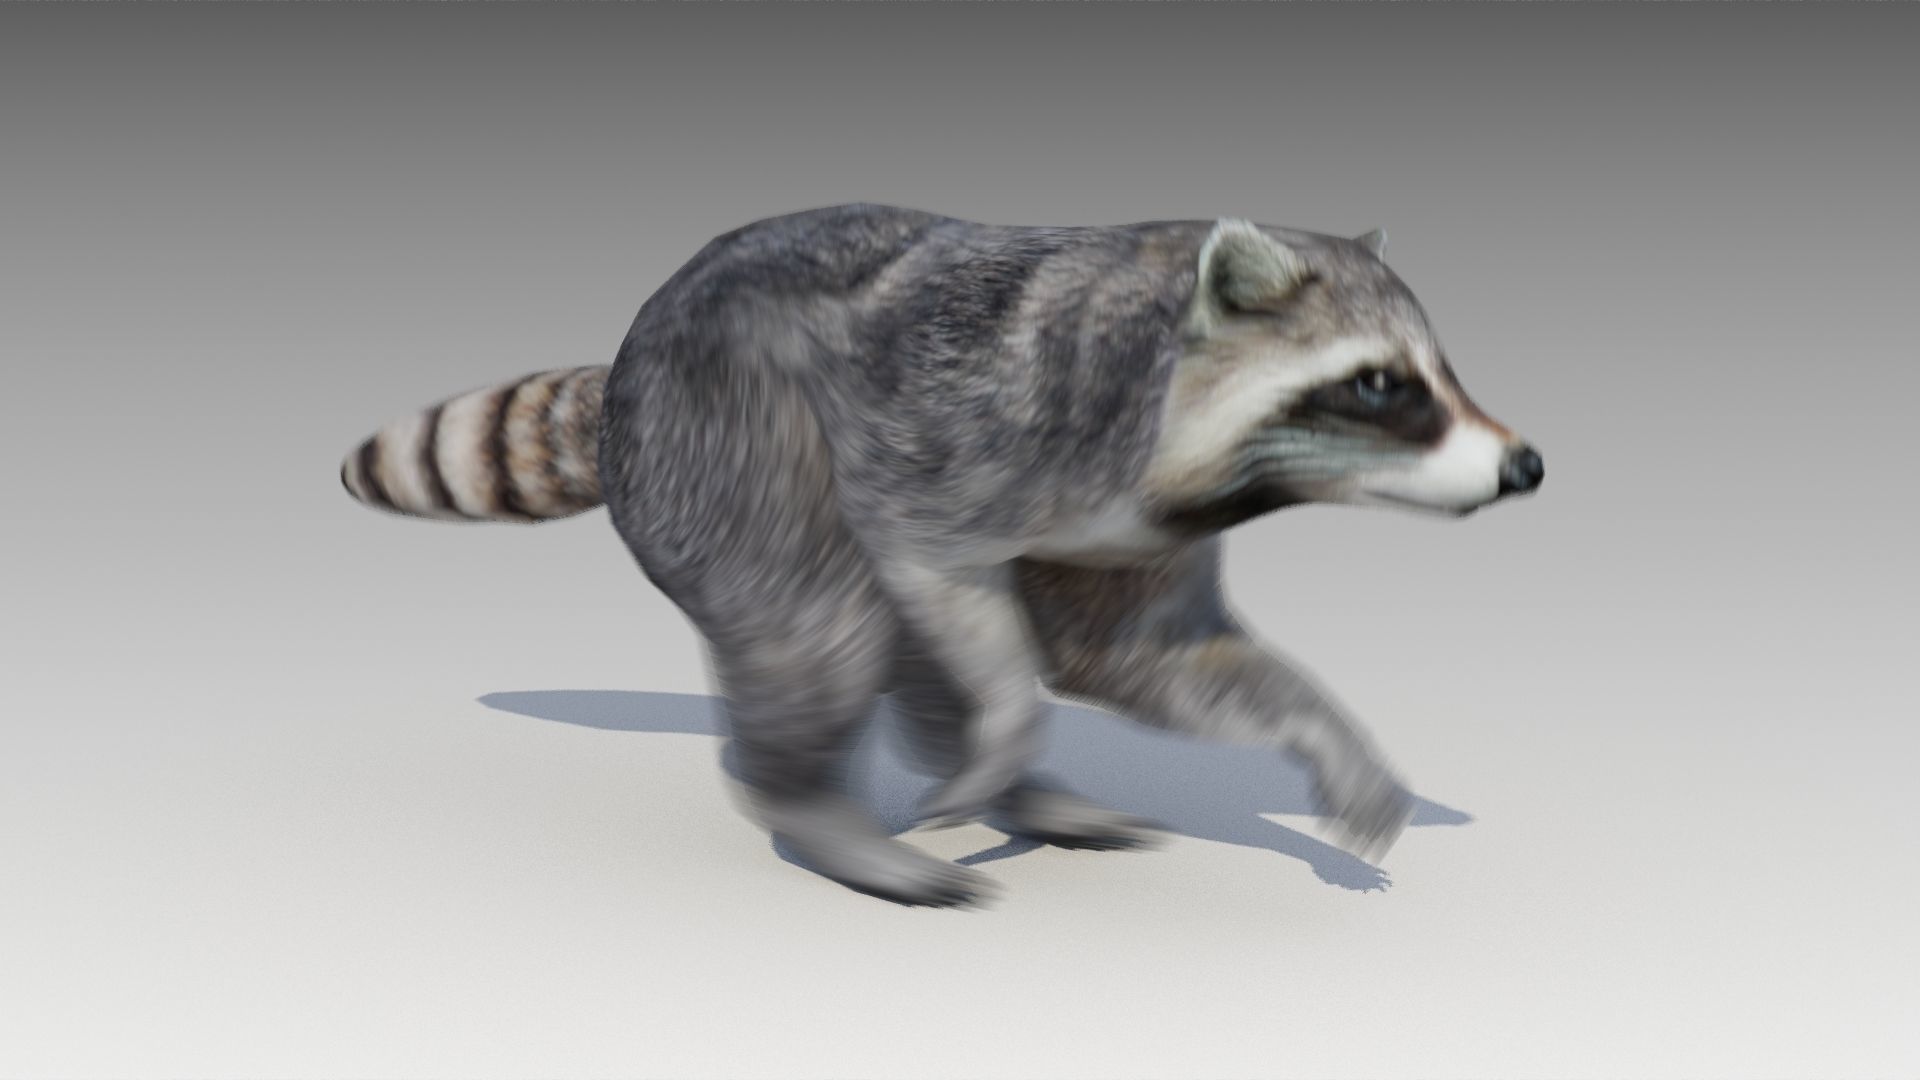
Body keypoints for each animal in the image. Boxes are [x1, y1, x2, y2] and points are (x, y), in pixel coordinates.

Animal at [341, 204, 1543, 907]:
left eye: (1443, 369)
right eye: (1381, 384)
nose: (1524, 466)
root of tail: (628, 371)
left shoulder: (1135, 522)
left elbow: (1150, 660)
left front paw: (1326, 731)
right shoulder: (973, 430)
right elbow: (935, 567)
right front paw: (1007, 726)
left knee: (909, 654)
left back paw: (1016, 791)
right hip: (731, 445)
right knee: (818, 627)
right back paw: (818, 808)